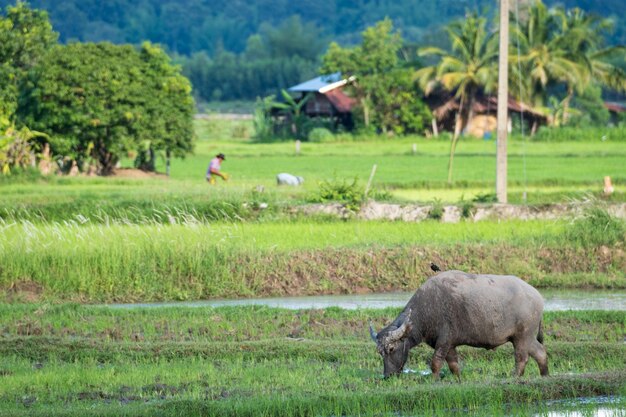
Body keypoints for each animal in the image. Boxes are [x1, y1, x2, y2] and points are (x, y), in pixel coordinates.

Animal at [368, 270, 548, 380]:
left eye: (392, 349)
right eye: (380, 352)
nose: (388, 376)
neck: (426, 310)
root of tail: (537, 296)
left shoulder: (444, 341)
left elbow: (435, 363)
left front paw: (434, 380)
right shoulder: (450, 345)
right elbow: (454, 365)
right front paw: (458, 380)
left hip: (521, 337)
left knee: (522, 357)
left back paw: (516, 376)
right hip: (526, 338)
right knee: (540, 352)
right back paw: (545, 375)